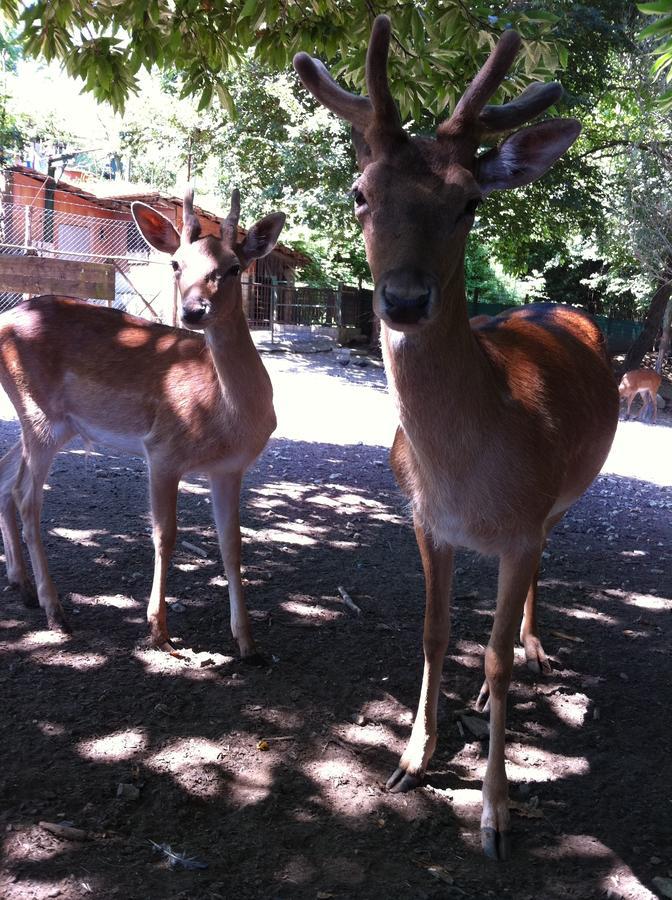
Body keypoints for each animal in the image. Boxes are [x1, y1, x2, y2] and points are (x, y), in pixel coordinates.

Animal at [0, 188, 284, 660]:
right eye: (176, 265)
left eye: (234, 267)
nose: (193, 311)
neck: (227, 416)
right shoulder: (162, 450)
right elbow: (164, 535)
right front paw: (160, 632)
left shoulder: (229, 468)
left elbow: (233, 544)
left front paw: (248, 643)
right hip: (40, 416)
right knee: (26, 498)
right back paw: (55, 611)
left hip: (48, 422)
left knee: (6, 479)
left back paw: (21, 586)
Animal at [296, 14, 620, 856]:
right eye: (360, 192)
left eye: (471, 200)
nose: (406, 300)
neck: (463, 476)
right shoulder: (422, 520)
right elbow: (434, 632)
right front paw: (412, 757)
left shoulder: (521, 524)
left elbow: (498, 658)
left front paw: (496, 814)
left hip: (568, 492)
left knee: (543, 570)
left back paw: (535, 649)